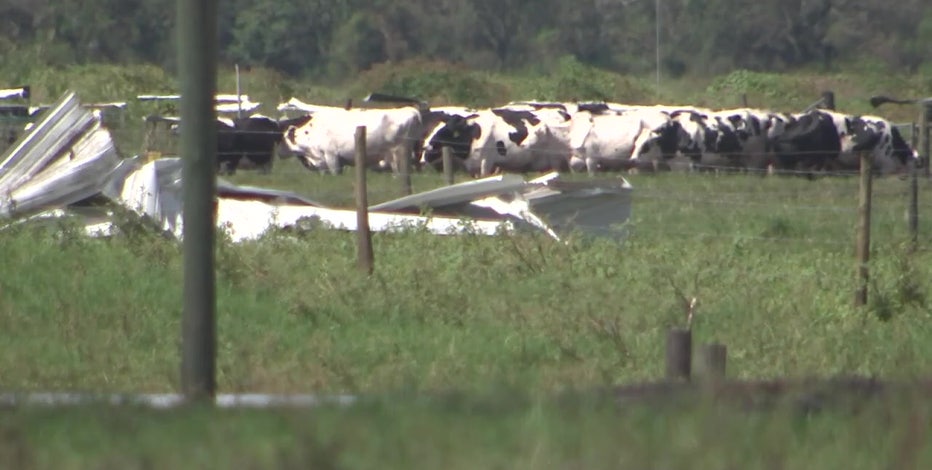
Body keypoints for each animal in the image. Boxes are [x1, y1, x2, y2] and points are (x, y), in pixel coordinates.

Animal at [278, 105, 420, 175]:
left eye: (282, 138)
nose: (279, 154)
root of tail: (411, 110)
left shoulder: (332, 156)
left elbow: (335, 174)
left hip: (397, 153)